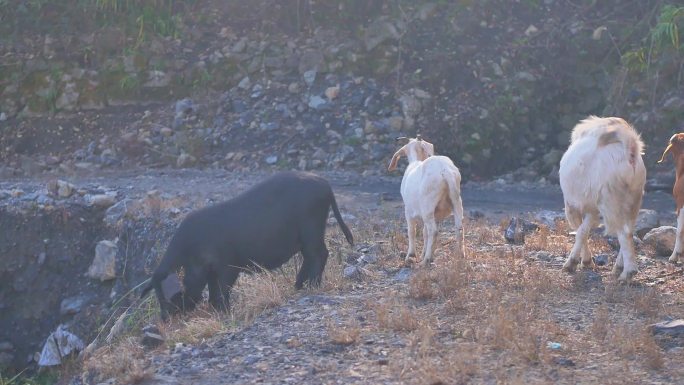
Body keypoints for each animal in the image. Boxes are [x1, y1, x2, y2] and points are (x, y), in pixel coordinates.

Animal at [390, 135, 464, 264]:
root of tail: (445, 171)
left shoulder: (408, 211)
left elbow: (412, 232)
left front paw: (411, 255)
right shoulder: (436, 214)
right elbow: (425, 233)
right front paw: (423, 253)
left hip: (427, 207)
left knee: (433, 231)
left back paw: (426, 260)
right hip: (456, 202)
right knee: (458, 227)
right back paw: (460, 255)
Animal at [560, 115, 644, 280]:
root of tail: (630, 151)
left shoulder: (573, 206)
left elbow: (580, 231)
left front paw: (573, 263)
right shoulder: (591, 208)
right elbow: (584, 230)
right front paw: (585, 261)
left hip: (610, 200)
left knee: (624, 233)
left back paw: (627, 273)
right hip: (634, 201)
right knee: (629, 230)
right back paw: (619, 267)